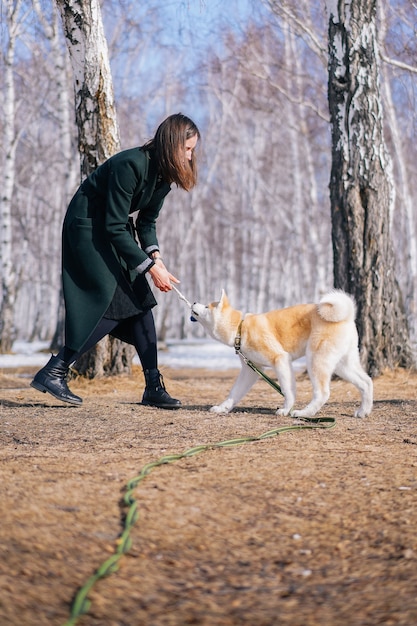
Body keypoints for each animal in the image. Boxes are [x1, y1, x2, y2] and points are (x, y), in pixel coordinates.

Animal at [190, 290, 372, 416]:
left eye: (206, 306)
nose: (193, 301)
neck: (240, 329)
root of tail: (346, 316)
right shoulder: (251, 371)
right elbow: (234, 392)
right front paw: (223, 408)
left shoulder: (280, 359)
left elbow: (287, 390)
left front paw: (286, 409)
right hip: (343, 365)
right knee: (366, 382)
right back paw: (363, 411)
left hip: (316, 360)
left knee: (323, 393)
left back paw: (304, 413)